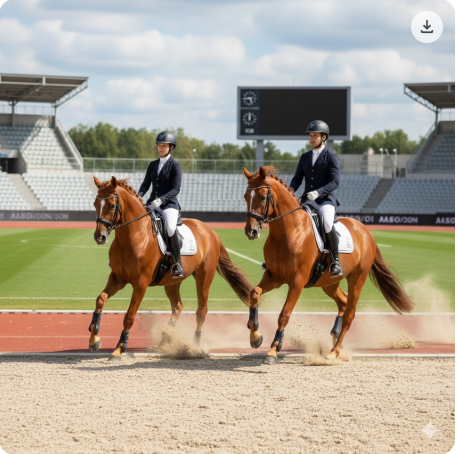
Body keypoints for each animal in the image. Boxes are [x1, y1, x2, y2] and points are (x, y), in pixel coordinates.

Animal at [90, 176, 253, 360]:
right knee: (178, 307)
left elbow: (129, 316)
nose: (100, 237)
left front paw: (119, 348)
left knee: (201, 310)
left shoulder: (140, 283)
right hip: (172, 282)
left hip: (204, 277)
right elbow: (100, 299)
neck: (133, 236)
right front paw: (94, 339)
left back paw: (194, 346)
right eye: (95, 204)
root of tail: (210, 232)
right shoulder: (118, 278)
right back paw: (164, 340)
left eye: (111, 205)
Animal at [243, 166, 414, 364]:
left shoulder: (297, 281)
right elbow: (254, 294)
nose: (251, 231)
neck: (288, 231)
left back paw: (334, 352)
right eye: (246, 196)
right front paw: (255, 337)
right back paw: (334, 335)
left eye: (263, 197)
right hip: (329, 283)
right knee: (343, 303)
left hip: (357, 279)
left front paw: (272, 351)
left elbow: (284, 315)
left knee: (349, 314)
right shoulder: (274, 276)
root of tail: (365, 231)